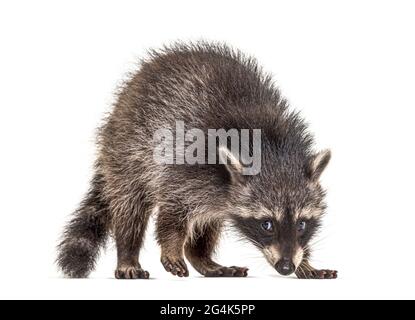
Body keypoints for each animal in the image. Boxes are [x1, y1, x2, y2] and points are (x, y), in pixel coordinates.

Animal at [57, 41, 338, 278]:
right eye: (267, 224)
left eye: (302, 224)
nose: (286, 267)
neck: (272, 149)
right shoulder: (188, 163)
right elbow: (172, 213)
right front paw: (171, 246)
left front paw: (306, 261)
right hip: (129, 150)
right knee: (130, 207)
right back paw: (128, 254)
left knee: (207, 221)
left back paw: (202, 259)